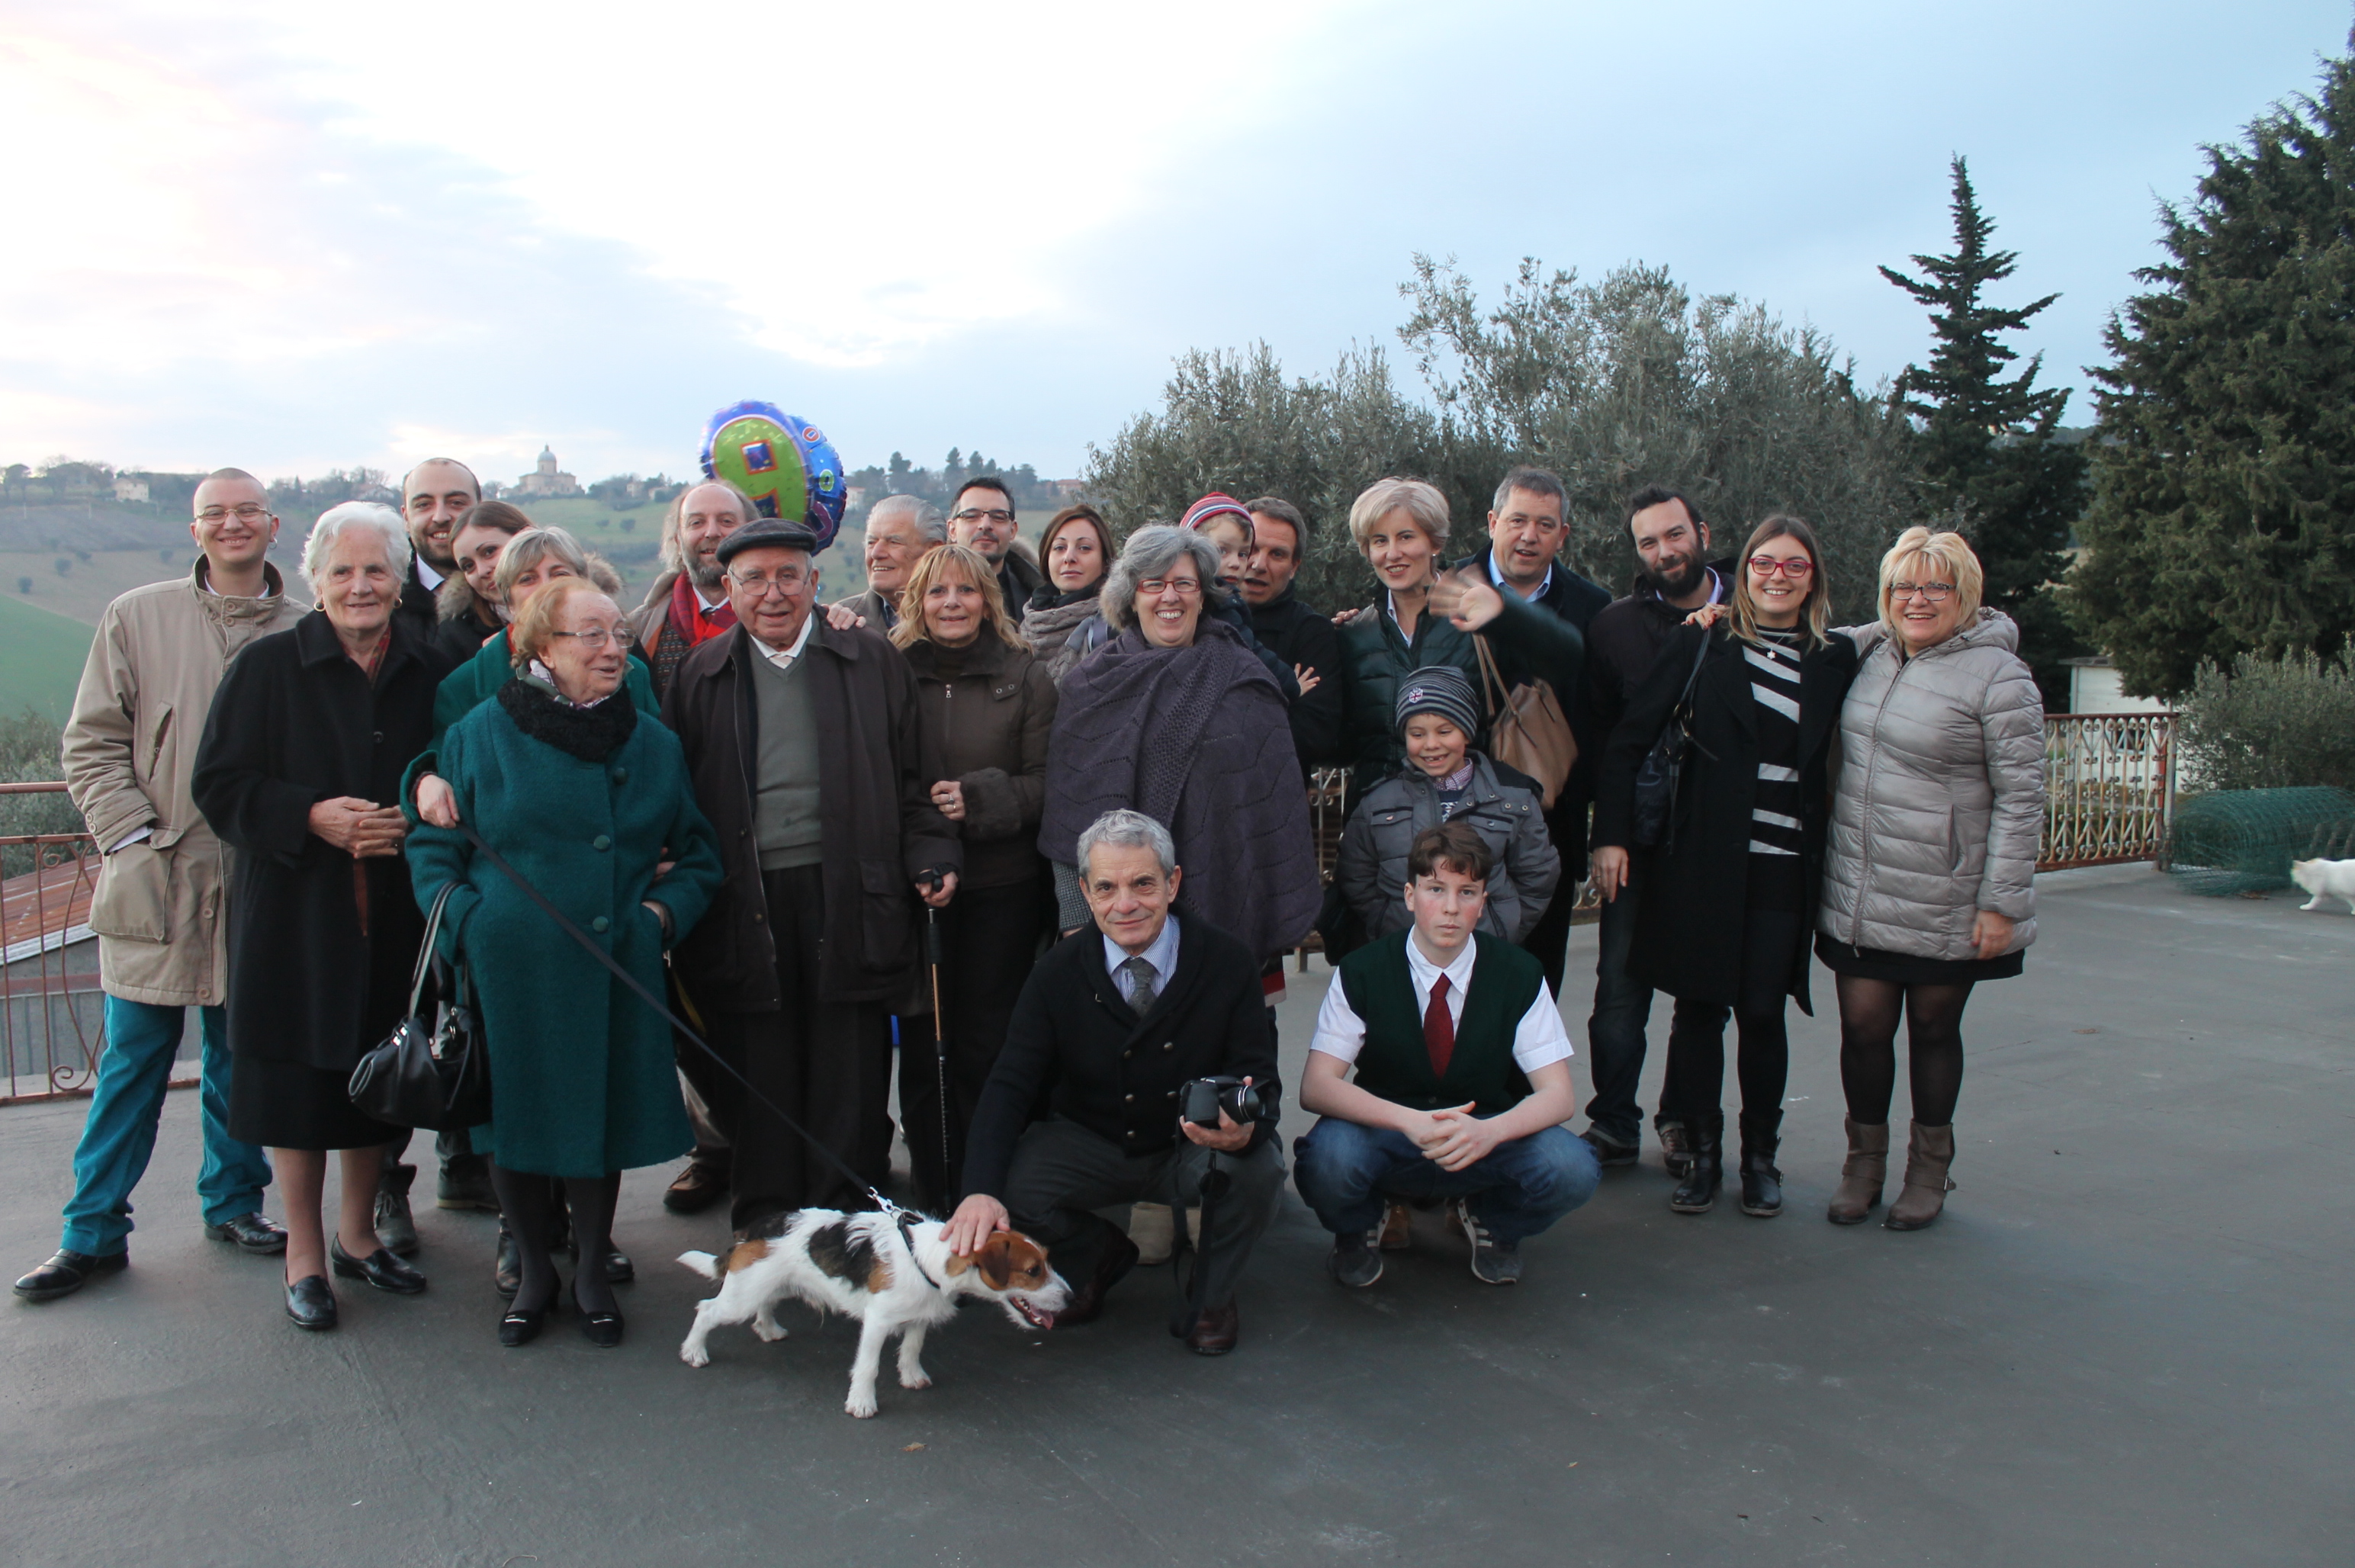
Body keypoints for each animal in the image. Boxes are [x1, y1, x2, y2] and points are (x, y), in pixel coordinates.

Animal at [678, 1208, 1070, 1418]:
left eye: (1048, 1261)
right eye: (1034, 1270)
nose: (1070, 1298)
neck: (927, 1259)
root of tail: (758, 1227)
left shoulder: (919, 1316)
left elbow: (911, 1349)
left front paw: (912, 1377)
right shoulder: (878, 1322)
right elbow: (868, 1366)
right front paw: (862, 1403)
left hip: (772, 1284)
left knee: (764, 1305)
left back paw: (769, 1328)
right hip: (740, 1296)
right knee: (706, 1310)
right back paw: (694, 1351)